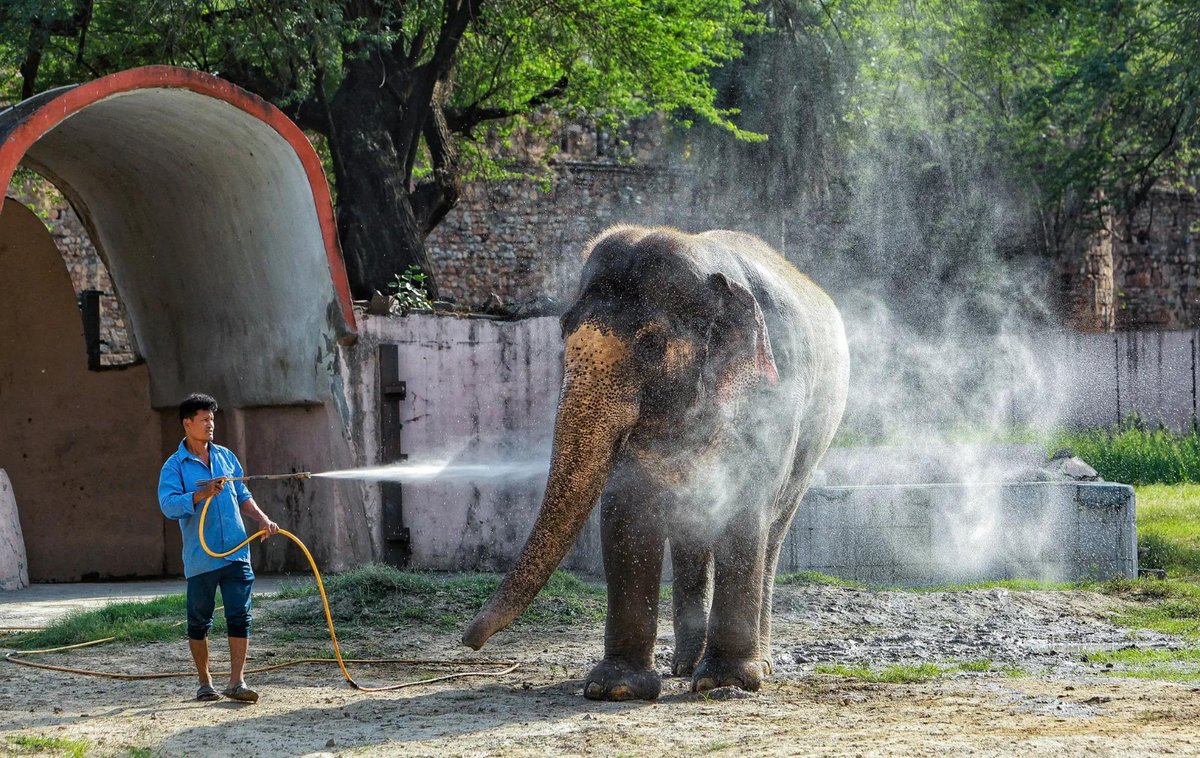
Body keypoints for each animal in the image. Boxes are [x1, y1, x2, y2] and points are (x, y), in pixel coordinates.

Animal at [463, 225, 849, 700]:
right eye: (564, 330)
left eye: (651, 343)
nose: (468, 641)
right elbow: (626, 510)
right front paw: (616, 687)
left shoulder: (772, 397)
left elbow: (745, 506)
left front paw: (725, 681)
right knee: (690, 531)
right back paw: (684, 665)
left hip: (811, 448)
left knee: (774, 532)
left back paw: (757, 665)